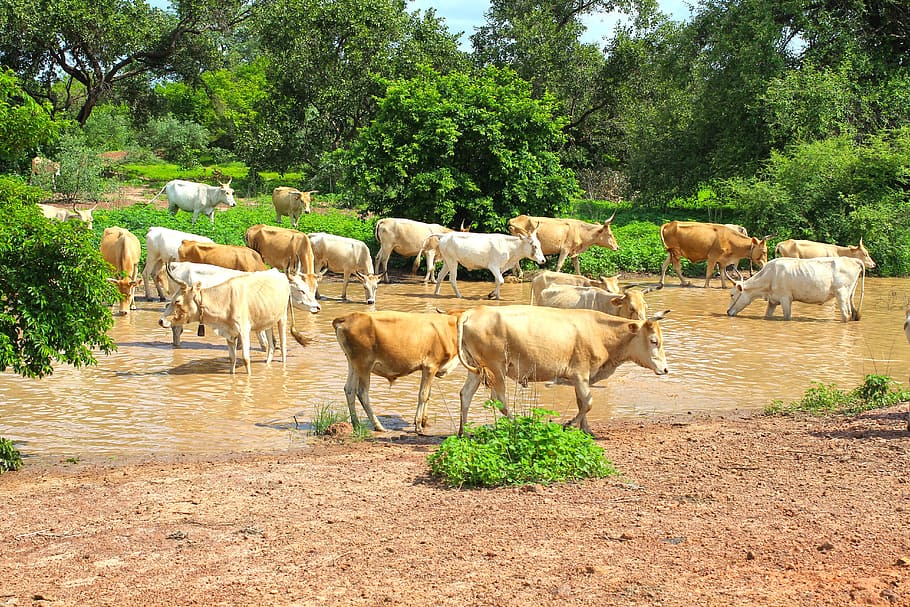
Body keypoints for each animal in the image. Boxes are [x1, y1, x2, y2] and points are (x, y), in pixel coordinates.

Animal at [159, 269, 291, 375]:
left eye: (177, 301)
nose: (161, 321)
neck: (224, 301)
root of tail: (278, 272)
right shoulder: (230, 333)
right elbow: (232, 359)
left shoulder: (244, 331)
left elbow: (245, 359)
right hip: (268, 321)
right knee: (271, 345)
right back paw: (267, 364)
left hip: (283, 317)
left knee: (283, 345)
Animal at [333, 310, 463, 433]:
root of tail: (347, 317)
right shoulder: (430, 366)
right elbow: (423, 395)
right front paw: (418, 425)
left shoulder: (431, 369)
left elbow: (428, 395)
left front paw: (424, 421)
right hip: (364, 364)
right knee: (362, 393)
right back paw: (378, 426)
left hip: (353, 363)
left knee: (349, 390)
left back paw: (356, 423)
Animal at [456, 305, 671, 435]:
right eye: (653, 341)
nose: (666, 369)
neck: (600, 333)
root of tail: (473, 311)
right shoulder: (581, 374)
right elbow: (588, 403)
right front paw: (570, 424)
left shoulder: (579, 379)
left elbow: (582, 403)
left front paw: (587, 430)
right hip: (496, 368)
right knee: (499, 399)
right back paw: (520, 425)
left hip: (476, 369)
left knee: (465, 394)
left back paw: (463, 432)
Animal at [726, 257, 864, 322]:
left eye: (731, 294)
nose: (728, 312)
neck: (770, 275)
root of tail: (853, 260)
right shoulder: (773, 301)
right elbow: (767, 315)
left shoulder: (786, 298)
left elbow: (787, 316)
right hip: (849, 296)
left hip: (841, 294)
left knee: (846, 314)